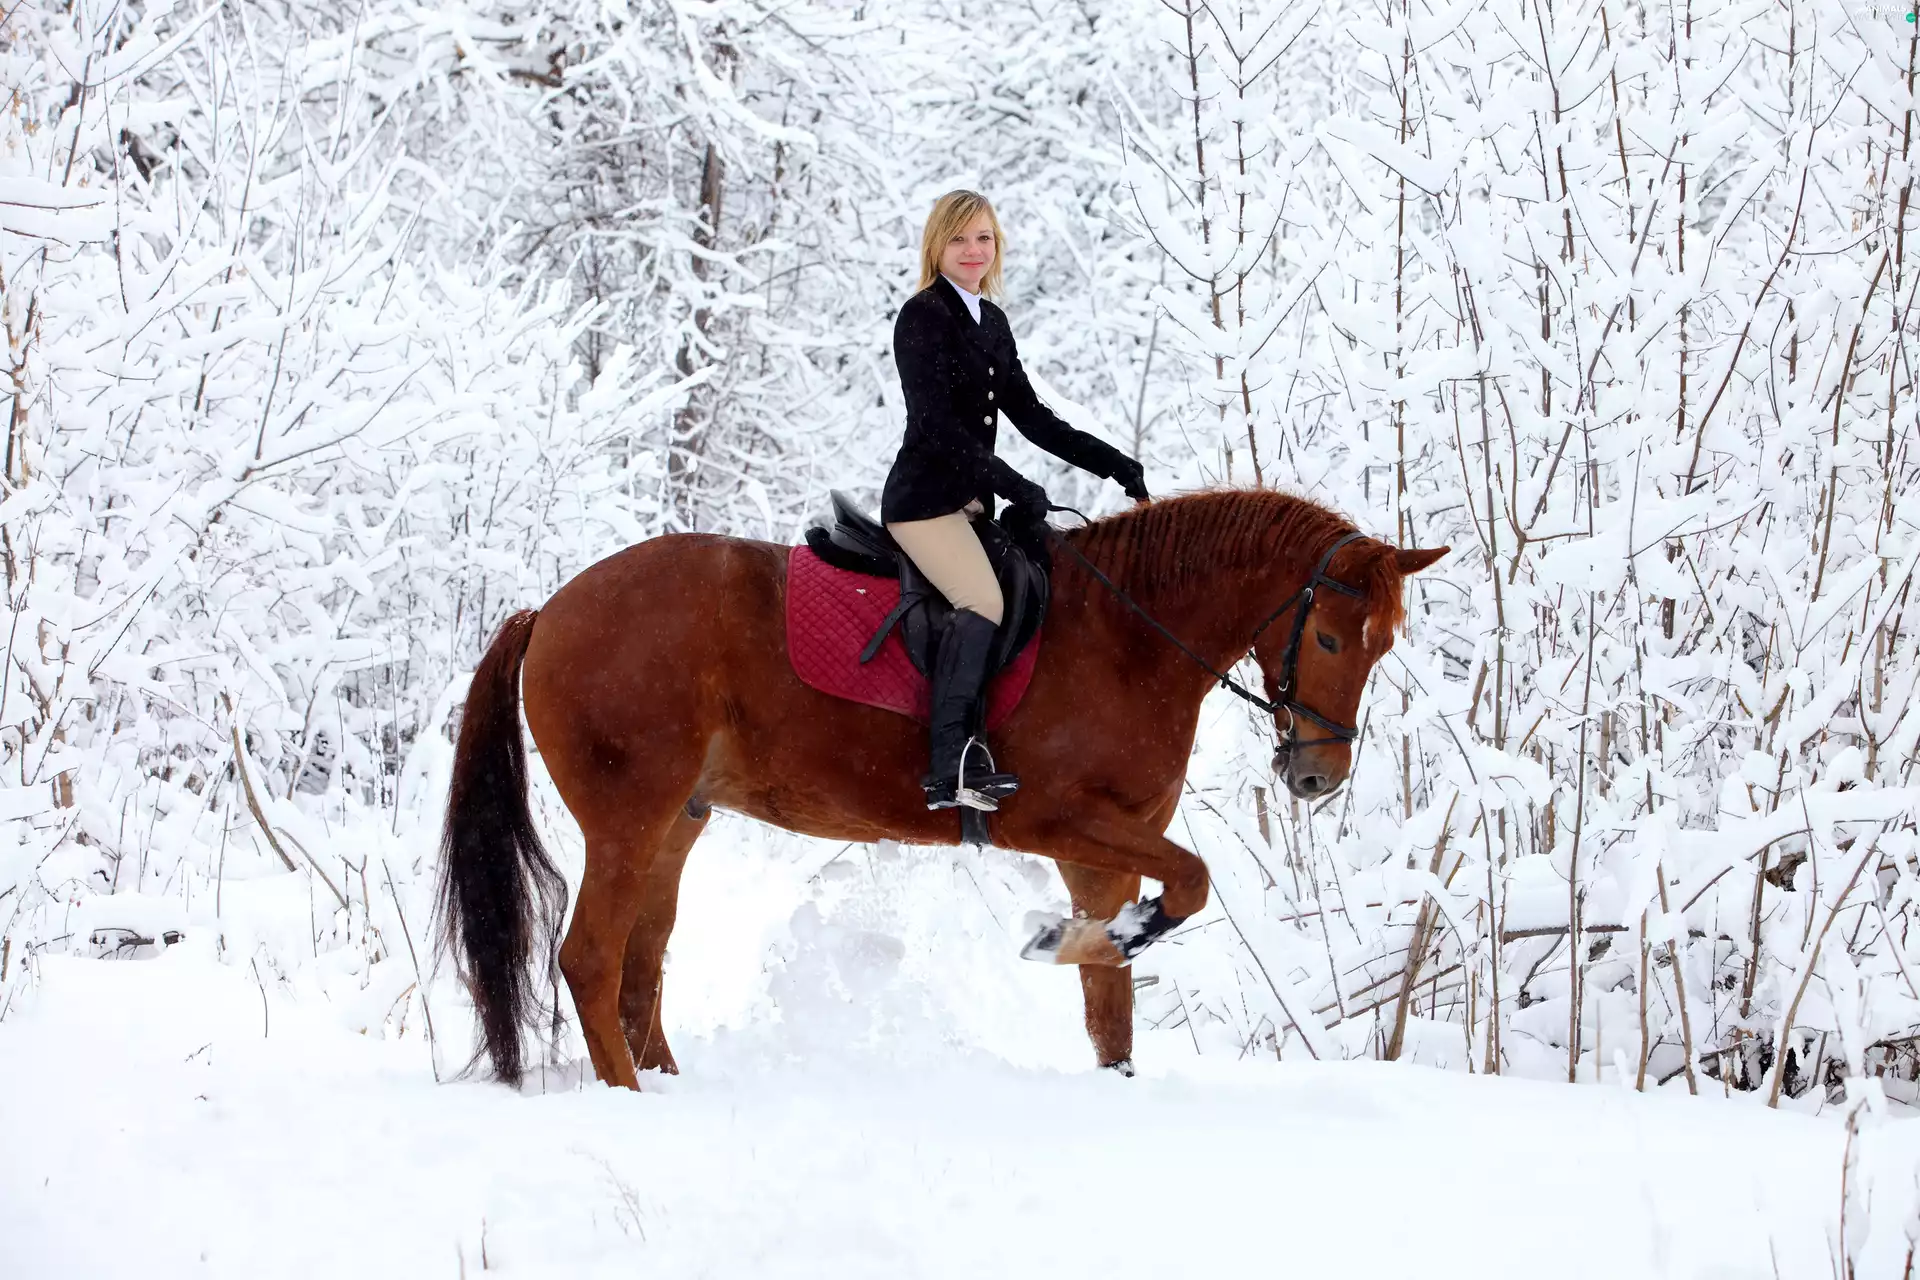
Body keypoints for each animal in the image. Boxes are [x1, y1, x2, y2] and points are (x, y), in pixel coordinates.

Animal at [436, 489, 1446, 1089]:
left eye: (1383, 646)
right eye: (1328, 639)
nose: (1317, 776)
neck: (1128, 638)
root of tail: (550, 609)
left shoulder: (1107, 853)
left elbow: (1112, 1009)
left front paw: (1094, 957)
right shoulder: (1060, 821)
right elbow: (1190, 884)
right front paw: (1065, 940)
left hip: (675, 826)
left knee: (639, 970)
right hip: (627, 821)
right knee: (591, 961)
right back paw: (630, 1098)